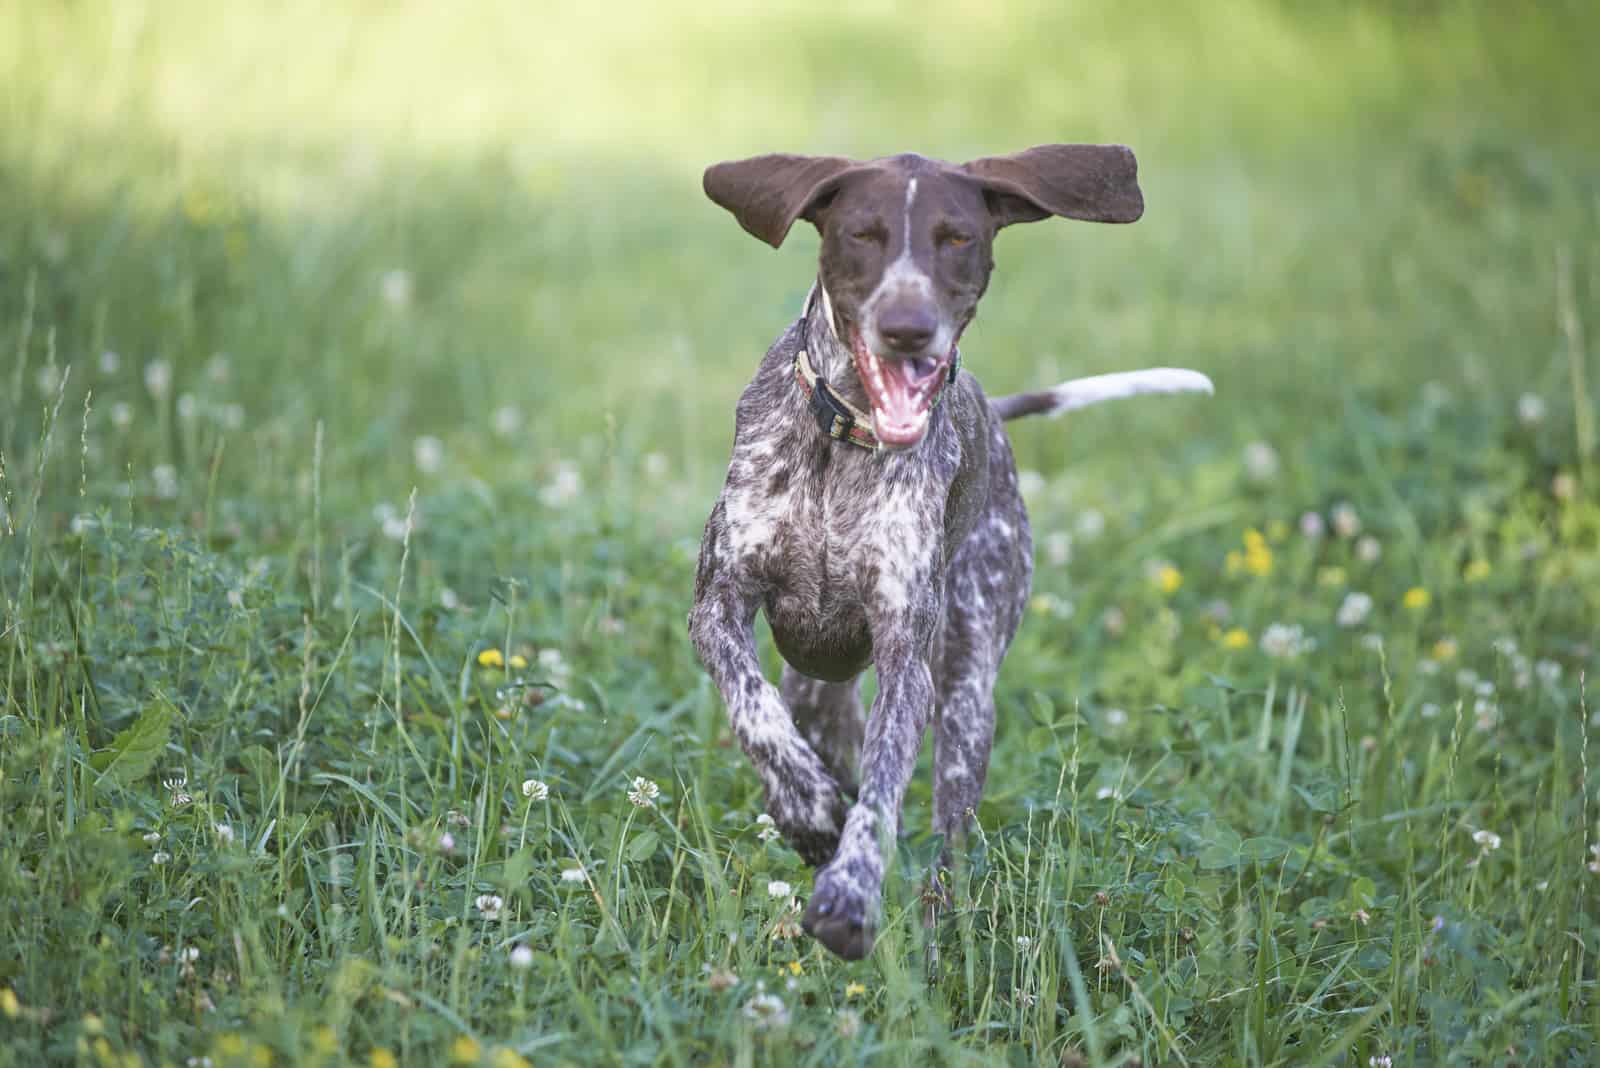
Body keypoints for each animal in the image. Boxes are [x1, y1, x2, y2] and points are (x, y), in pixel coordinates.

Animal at [691, 143, 1209, 959]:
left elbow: (881, 791)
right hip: (819, 693)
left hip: (966, 698)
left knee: (948, 839)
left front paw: (850, 891)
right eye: (863, 234)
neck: (848, 437)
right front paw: (807, 811)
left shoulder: (910, 660)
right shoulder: (719, 606)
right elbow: (755, 712)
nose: (908, 328)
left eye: (957, 237)